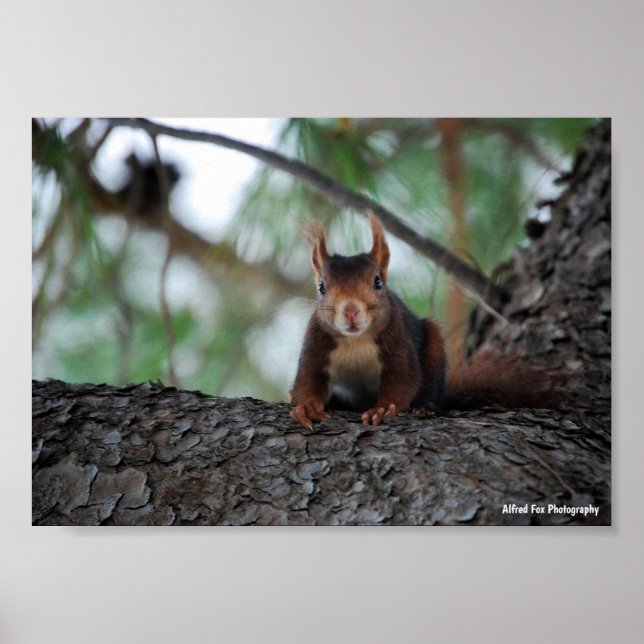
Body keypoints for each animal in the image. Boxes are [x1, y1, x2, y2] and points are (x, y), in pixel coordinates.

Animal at [289, 213, 560, 429]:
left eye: (378, 281)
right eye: (322, 287)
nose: (351, 311)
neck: (356, 340)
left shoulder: (397, 340)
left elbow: (403, 379)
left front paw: (382, 408)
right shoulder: (316, 342)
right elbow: (307, 379)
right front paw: (307, 406)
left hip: (434, 348)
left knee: (429, 390)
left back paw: (423, 407)